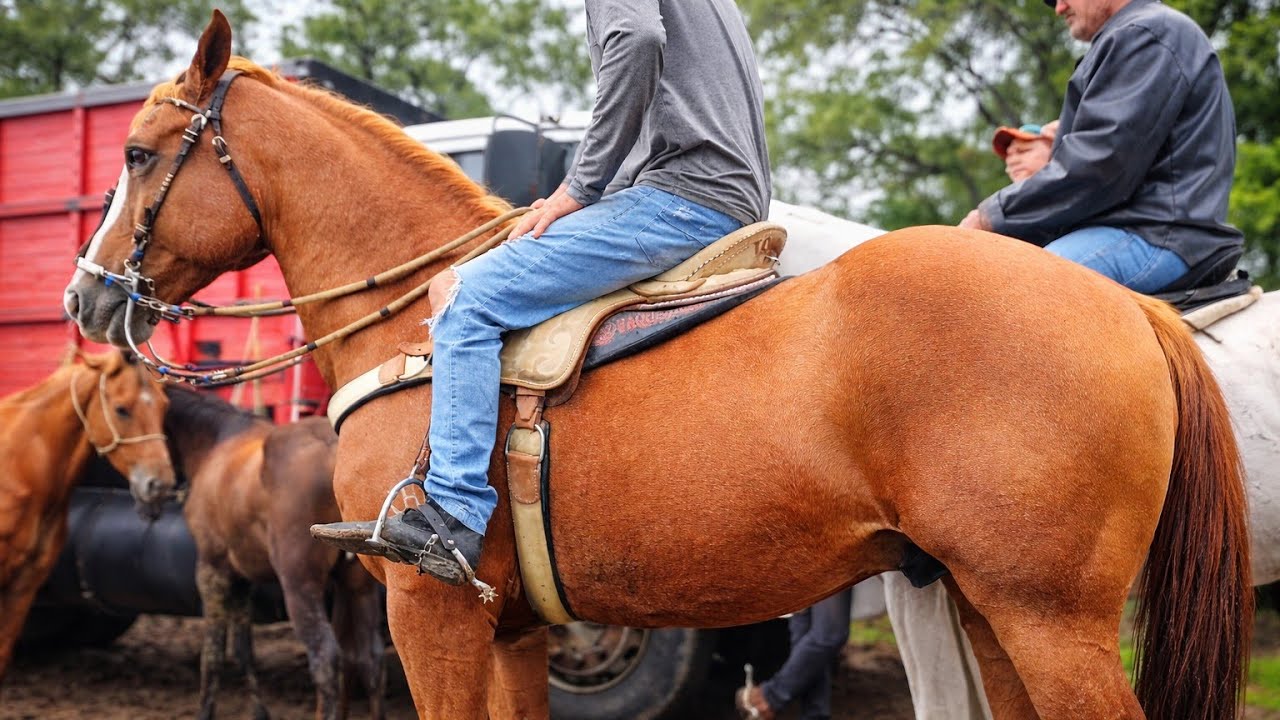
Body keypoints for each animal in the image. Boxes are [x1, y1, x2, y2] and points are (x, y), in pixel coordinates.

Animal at [159, 385, 386, 720]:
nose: (149, 487)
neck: (216, 443)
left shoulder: (212, 567)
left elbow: (212, 653)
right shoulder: (241, 577)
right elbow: (243, 649)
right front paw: (259, 711)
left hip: (299, 583)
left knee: (326, 657)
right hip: (358, 585)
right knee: (369, 658)